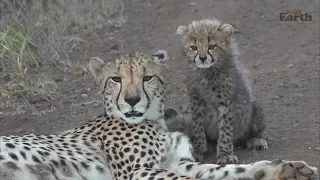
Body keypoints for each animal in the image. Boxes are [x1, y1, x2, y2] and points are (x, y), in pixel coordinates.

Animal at [0, 51, 318, 180]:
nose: (132, 100)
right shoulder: (137, 171)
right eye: (116, 79)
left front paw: (285, 169)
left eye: (147, 77)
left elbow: (227, 171)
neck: (154, 120)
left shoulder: (181, 163)